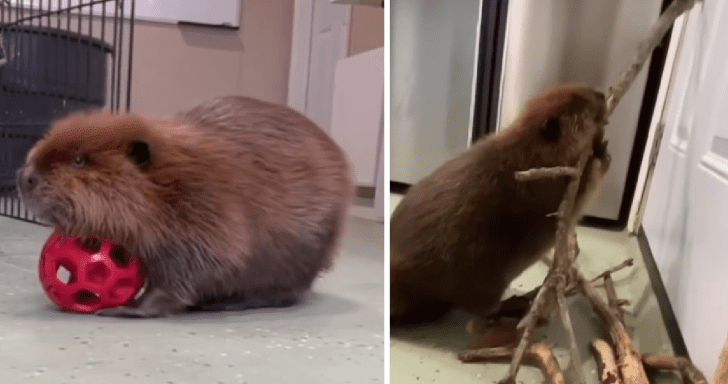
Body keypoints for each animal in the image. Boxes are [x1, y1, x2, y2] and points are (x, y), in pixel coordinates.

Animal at [17, 96, 352, 318]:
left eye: (80, 160)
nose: (24, 177)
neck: (170, 182)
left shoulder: (207, 214)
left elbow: (196, 268)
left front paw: (127, 308)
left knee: (288, 291)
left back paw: (229, 302)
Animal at [390, 85, 612, 328]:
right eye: (578, 99)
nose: (601, 94)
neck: (528, 153)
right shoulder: (545, 190)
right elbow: (576, 200)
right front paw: (600, 152)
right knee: (485, 310)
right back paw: (517, 304)